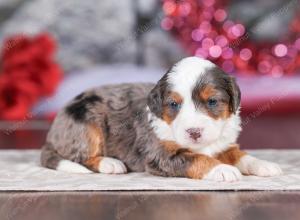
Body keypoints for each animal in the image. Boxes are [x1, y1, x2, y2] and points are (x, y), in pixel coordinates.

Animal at [41, 56, 282, 182]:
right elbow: (197, 158)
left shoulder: (223, 144)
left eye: (212, 101)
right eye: (173, 104)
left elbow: (240, 155)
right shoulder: (161, 154)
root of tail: (52, 134)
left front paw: (264, 165)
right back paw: (110, 163)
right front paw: (222, 169)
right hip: (87, 125)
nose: (194, 132)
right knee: (81, 156)